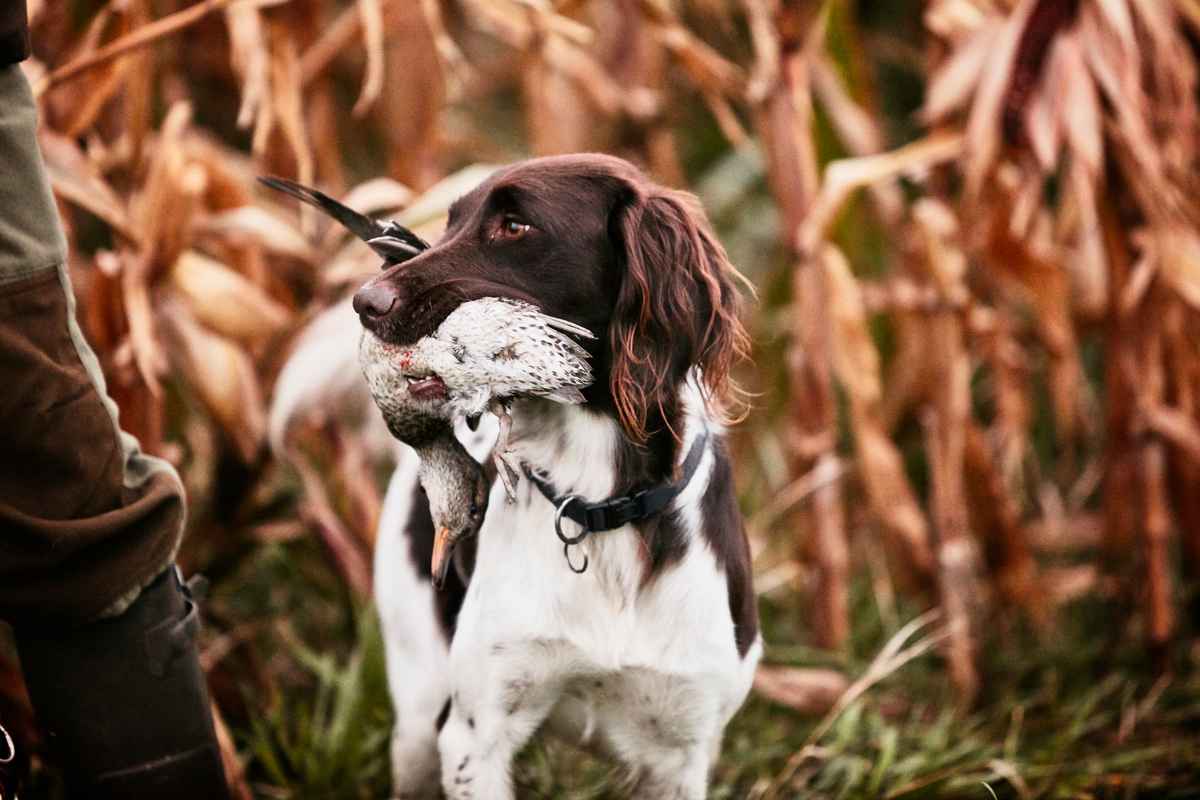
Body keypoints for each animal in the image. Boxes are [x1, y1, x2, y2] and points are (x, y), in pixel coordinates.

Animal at [276, 154, 753, 800]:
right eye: (451, 222)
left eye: (514, 226)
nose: (365, 302)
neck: (600, 510)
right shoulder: (474, 734)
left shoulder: (682, 751)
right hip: (419, 714)